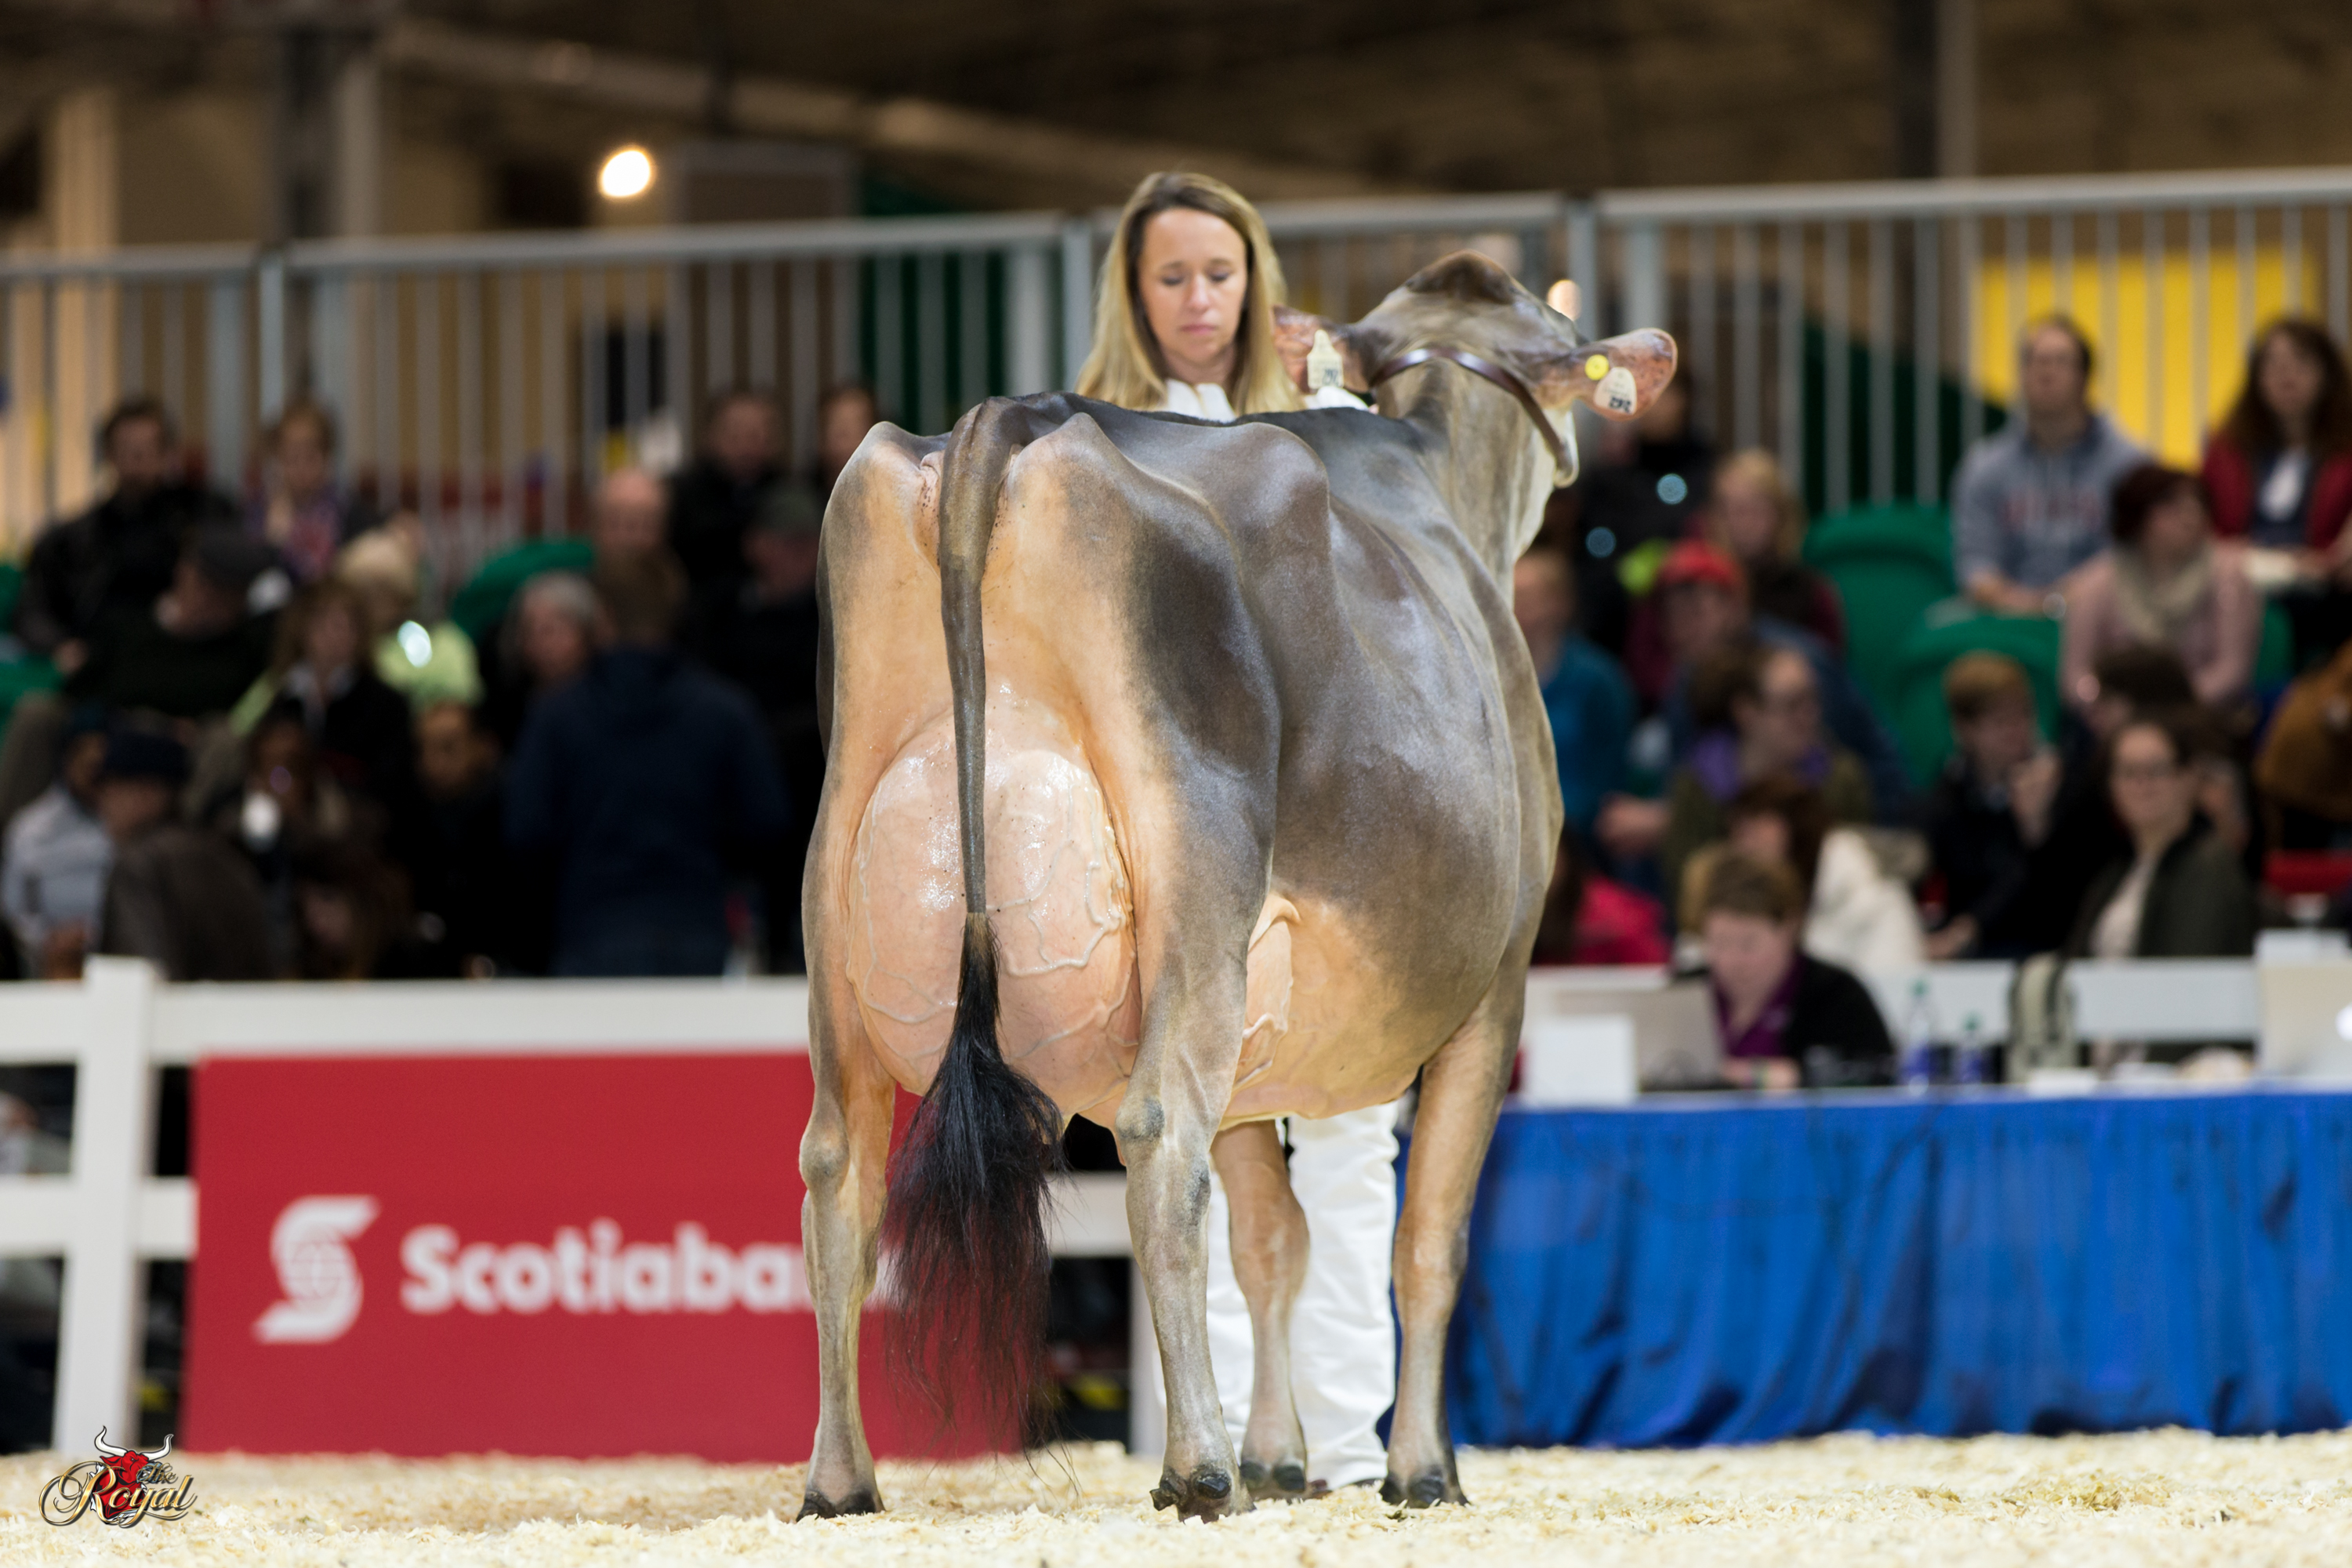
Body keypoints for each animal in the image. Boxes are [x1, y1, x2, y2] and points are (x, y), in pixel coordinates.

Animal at [795, 250, 1674, 1520]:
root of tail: (1004, 422)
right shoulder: (1497, 989)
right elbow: (1429, 1241)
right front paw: (1418, 1468)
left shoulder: (1265, 1019)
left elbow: (1271, 1240)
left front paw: (1284, 1457)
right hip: (1197, 885)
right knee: (1163, 1139)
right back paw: (1196, 1466)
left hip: (836, 893)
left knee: (839, 1167)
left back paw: (841, 1480)